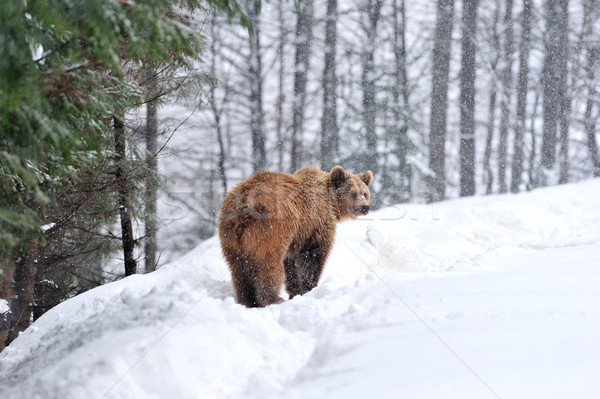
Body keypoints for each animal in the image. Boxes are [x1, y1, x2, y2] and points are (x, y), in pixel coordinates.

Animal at [218, 167, 372, 308]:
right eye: (353, 193)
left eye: (365, 193)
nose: (365, 207)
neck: (331, 203)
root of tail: (243, 205)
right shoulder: (315, 225)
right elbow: (313, 257)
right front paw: (310, 288)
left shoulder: (296, 236)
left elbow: (291, 264)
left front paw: (295, 292)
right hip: (270, 228)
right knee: (268, 263)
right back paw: (272, 299)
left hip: (230, 235)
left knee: (238, 267)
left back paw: (247, 300)